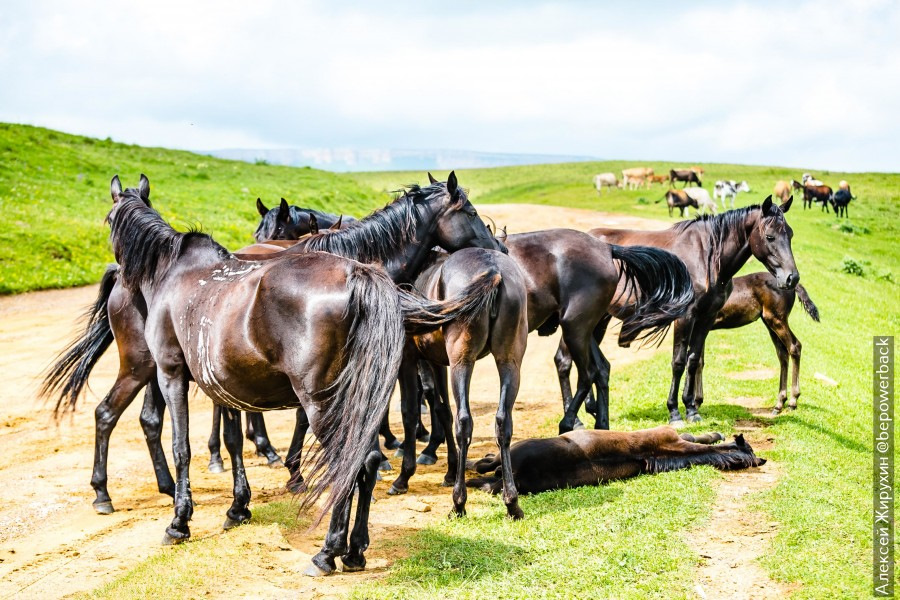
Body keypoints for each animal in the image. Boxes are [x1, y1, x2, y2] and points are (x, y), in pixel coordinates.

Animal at [568, 198, 800, 426]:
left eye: (790, 234)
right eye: (770, 236)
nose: (792, 278)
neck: (706, 258)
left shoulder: (705, 318)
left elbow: (694, 360)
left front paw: (691, 409)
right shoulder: (685, 318)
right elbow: (678, 362)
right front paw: (674, 412)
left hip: (599, 319)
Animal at [712, 272, 820, 412]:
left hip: (776, 319)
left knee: (794, 346)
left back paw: (792, 401)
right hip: (769, 323)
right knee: (783, 353)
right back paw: (780, 403)